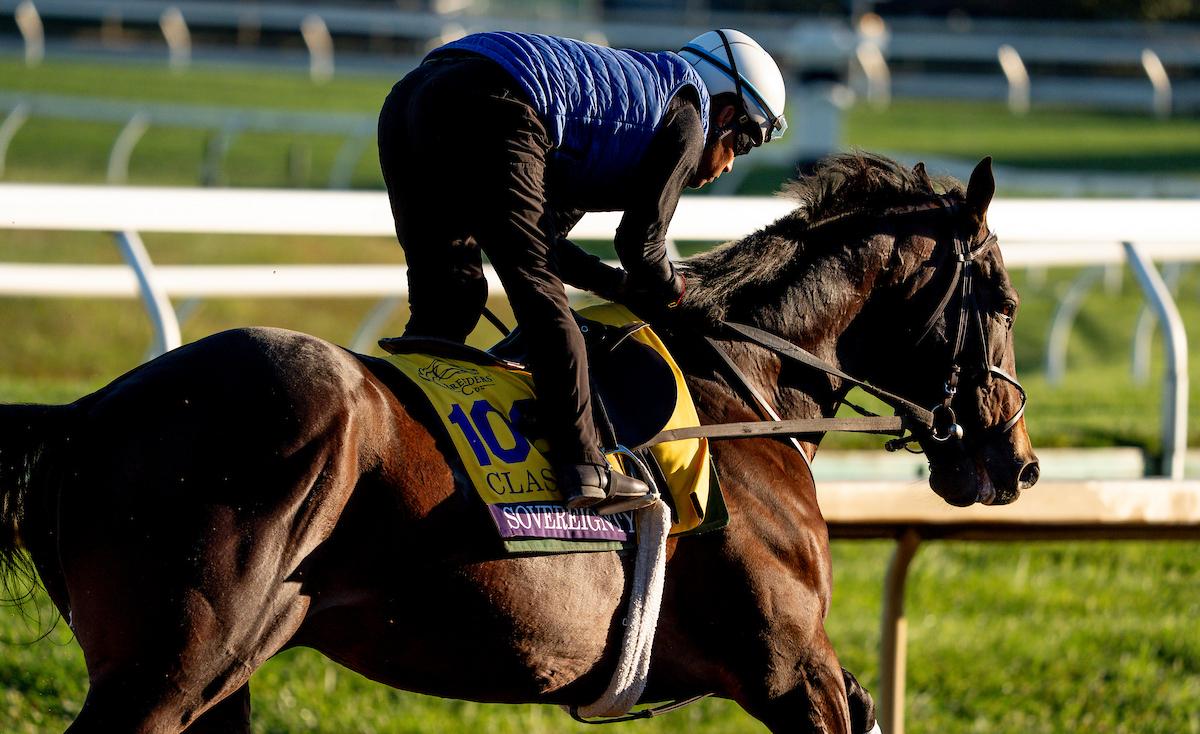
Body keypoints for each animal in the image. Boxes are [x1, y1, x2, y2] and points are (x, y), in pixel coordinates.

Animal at [0, 153, 1037, 733]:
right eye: (1005, 299)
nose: (1016, 461)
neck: (742, 393)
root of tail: (89, 412)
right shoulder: (788, 668)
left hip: (217, 679)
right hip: (168, 670)